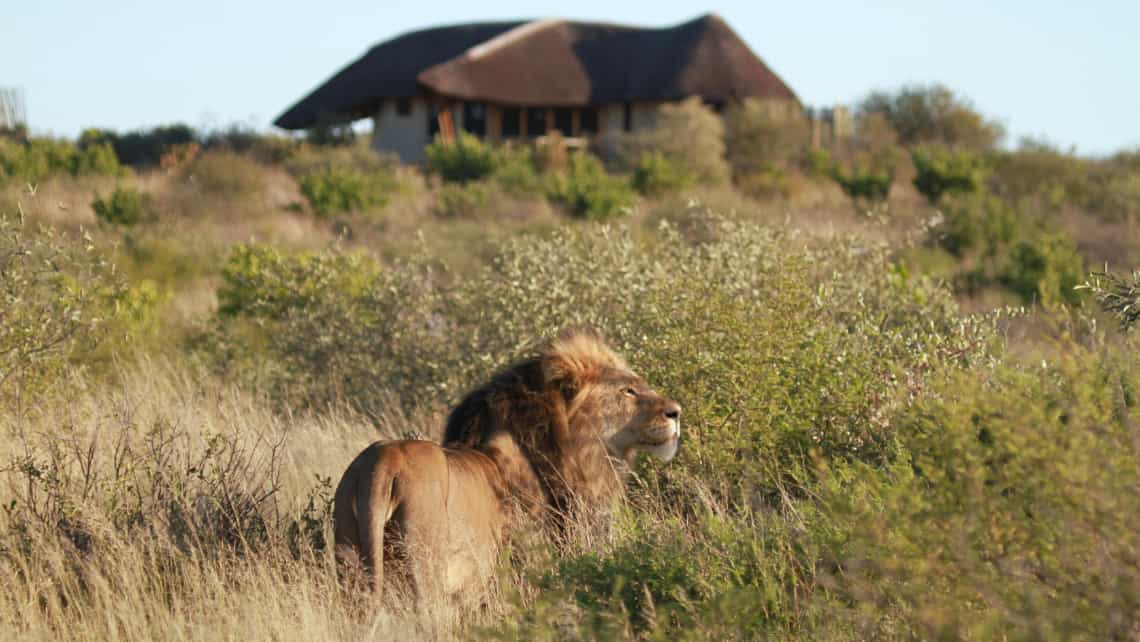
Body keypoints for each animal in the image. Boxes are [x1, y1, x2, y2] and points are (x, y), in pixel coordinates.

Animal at [332, 328, 679, 602]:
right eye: (629, 391)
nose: (676, 412)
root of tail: (382, 462)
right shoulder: (526, 570)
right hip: (425, 570)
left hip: (350, 560)